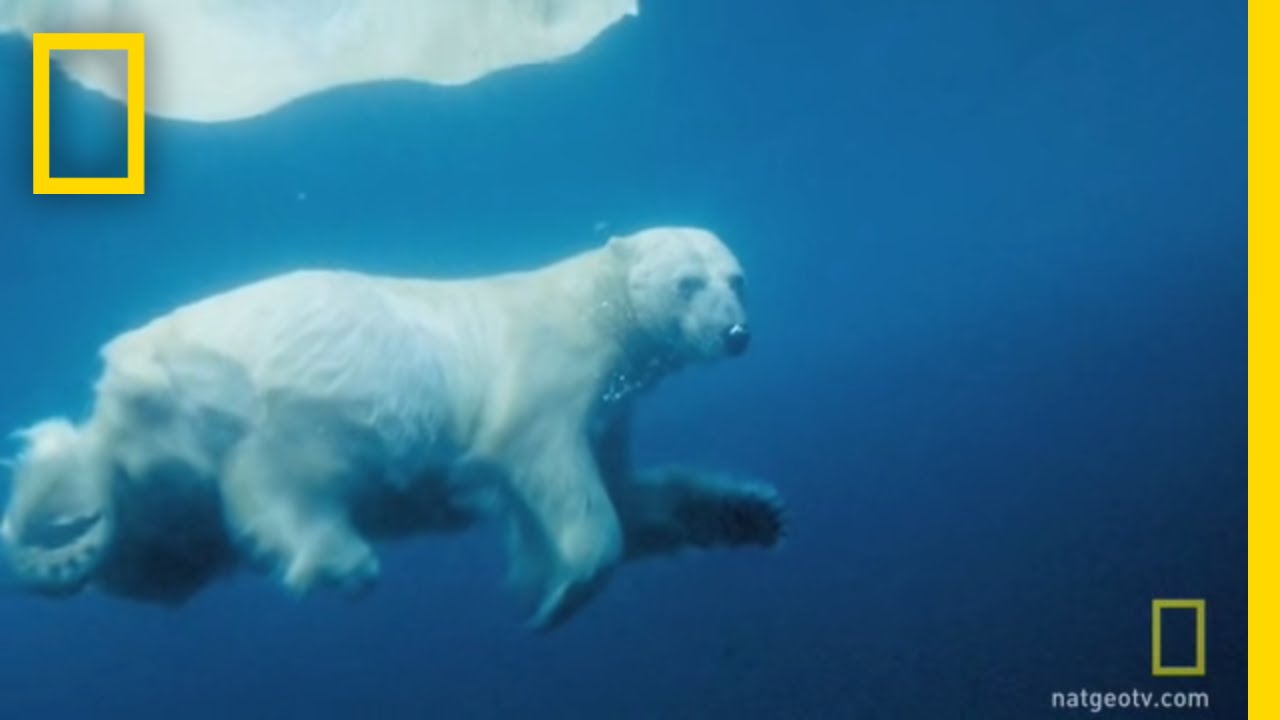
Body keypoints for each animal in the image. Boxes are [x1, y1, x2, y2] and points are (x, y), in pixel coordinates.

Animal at [0, 226, 783, 625]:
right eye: (688, 283)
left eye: (737, 279)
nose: (736, 333)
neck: (593, 306)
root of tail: (117, 398)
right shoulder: (548, 372)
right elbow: (555, 474)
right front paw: (558, 593)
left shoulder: (612, 405)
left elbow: (632, 491)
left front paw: (751, 510)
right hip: (278, 395)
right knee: (282, 477)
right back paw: (339, 557)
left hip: (166, 486)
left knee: (156, 556)